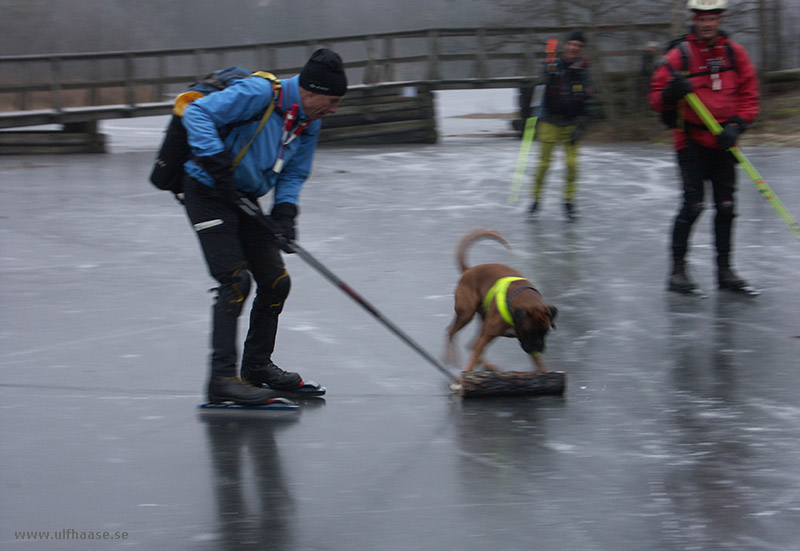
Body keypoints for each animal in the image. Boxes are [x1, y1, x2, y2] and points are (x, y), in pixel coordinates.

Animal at [444, 229, 556, 376]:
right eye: (528, 331)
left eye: (546, 332)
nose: (538, 347)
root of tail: (469, 270)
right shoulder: (491, 334)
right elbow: (472, 360)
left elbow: (539, 363)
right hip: (466, 314)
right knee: (452, 332)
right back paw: (452, 357)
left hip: (481, 321)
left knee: (472, 344)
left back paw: (487, 365)